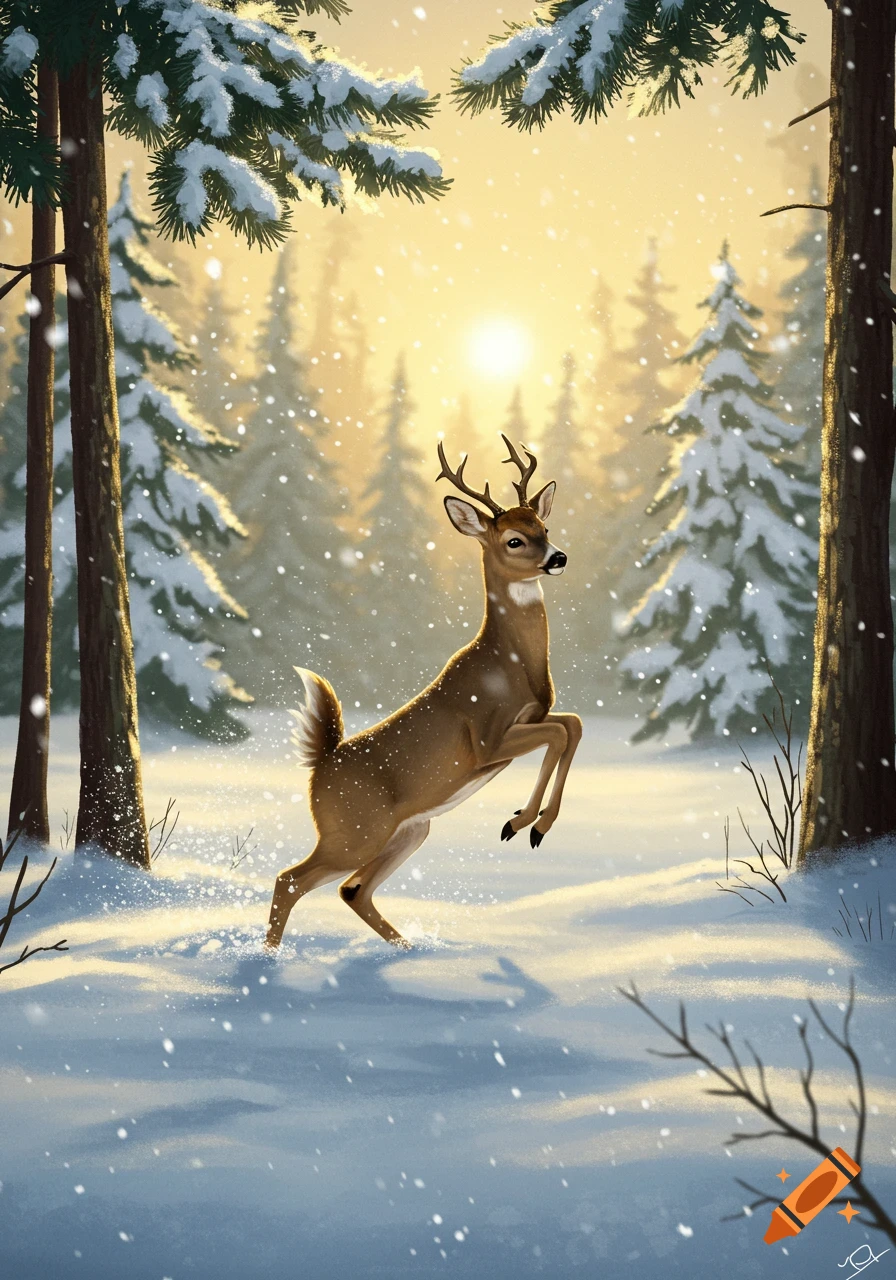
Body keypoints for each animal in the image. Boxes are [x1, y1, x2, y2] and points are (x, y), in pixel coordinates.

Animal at [265, 435, 582, 951]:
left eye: (544, 526)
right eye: (513, 539)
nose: (557, 558)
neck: (508, 663)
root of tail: (321, 762)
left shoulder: (532, 718)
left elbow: (572, 726)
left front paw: (534, 823)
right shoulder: (486, 739)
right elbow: (560, 734)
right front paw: (520, 823)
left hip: (411, 830)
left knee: (352, 889)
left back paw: (407, 950)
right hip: (353, 831)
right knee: (291, 879)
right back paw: (268, 960)